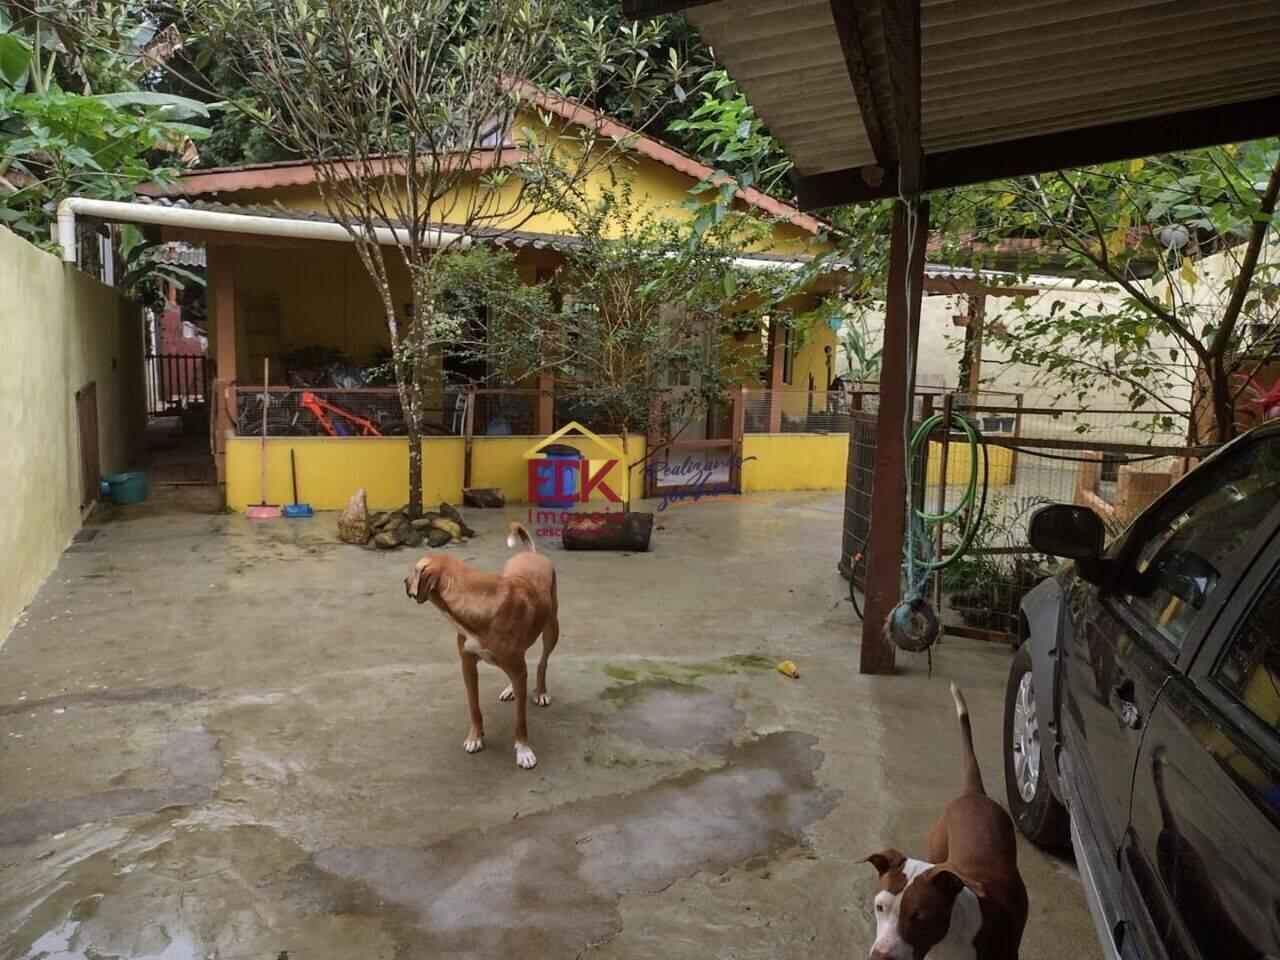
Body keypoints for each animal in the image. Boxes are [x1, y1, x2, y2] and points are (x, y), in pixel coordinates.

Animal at [401, 522, 558, 773]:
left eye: (415, 571)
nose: (404, 582)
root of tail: (532, 554)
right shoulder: (467, 665)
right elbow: (474, 707)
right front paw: (475, 738)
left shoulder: (516, 666)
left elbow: (520, 720)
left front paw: (523, 750)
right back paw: (511, 689)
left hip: (552, 629)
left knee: (542, 663)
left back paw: (540, 692)